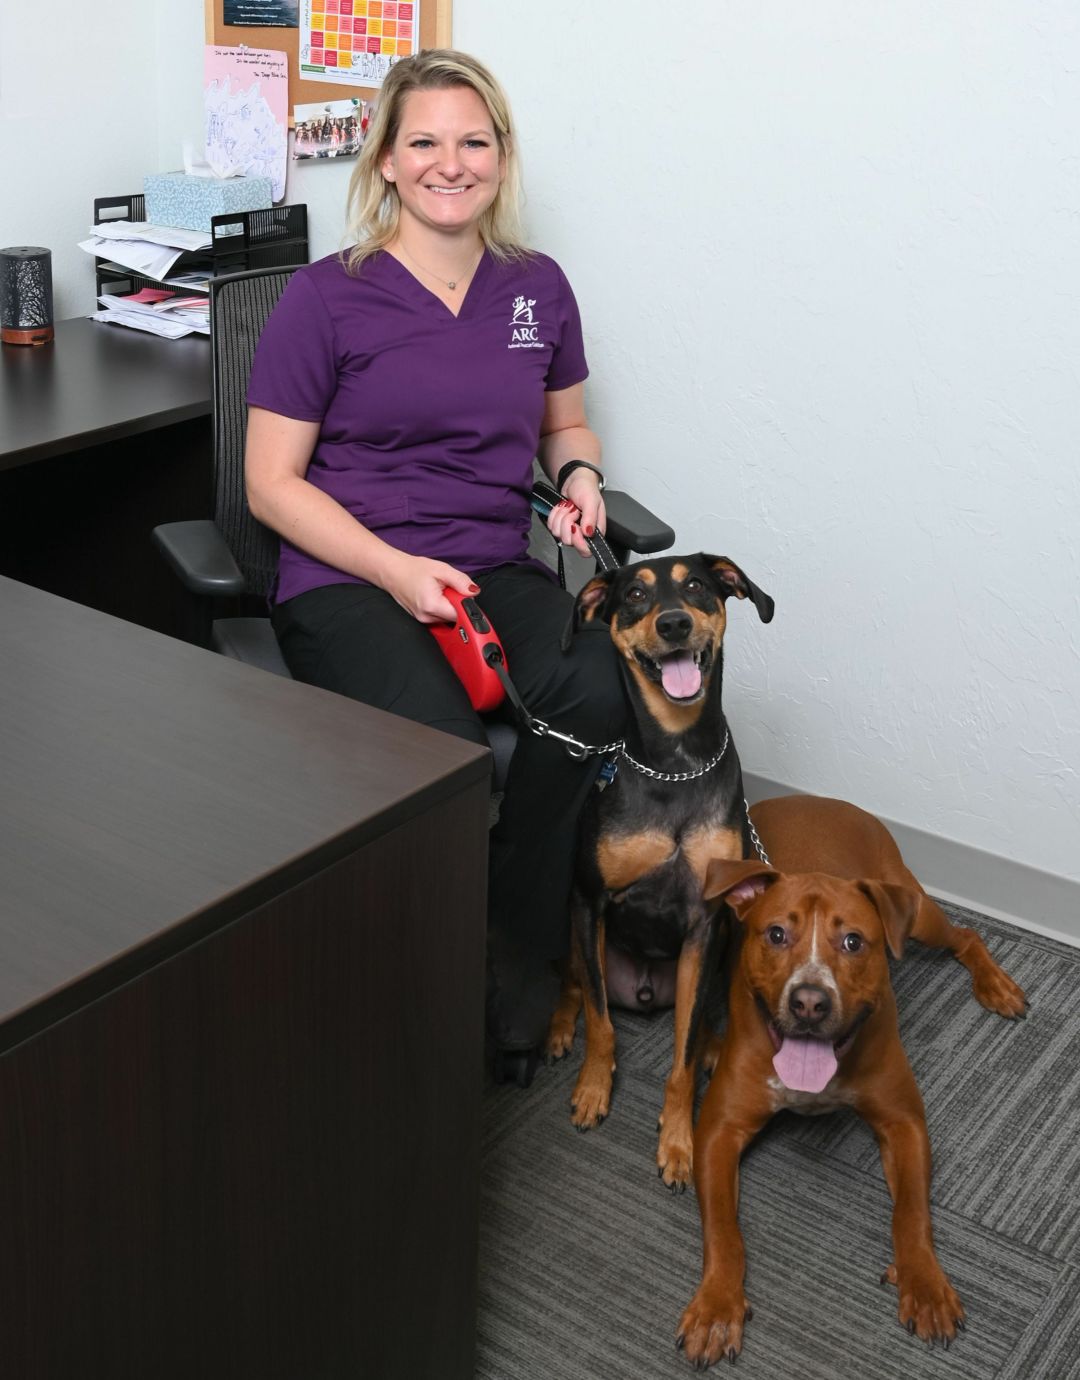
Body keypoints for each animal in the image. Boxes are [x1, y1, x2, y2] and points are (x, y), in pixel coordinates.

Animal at [554, 549, 772, 1186]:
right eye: (634, 596)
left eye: (696, 586)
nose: (674, 623)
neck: (675, 761)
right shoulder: (589, 899)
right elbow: (601, 1021)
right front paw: (593, 1088)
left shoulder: (705, 920)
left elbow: (682, 1057)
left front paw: (679, 1140)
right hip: (574, 928)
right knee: (576, 983)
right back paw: (558, 1027)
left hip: (723, 946)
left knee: (699, 1024)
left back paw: (716, 1047)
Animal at [681, 794, 1026, 1363]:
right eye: (776, 934)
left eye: (853, 942)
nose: (809, 1002)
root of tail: (817, 798)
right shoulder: (717, 1132)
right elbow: (723, 1231)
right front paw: (716, 1305)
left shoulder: (903, 1122)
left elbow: (911, 1212)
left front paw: (924, 1284)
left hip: (917, 913)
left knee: (965, 935)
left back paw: (996, 986)